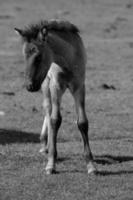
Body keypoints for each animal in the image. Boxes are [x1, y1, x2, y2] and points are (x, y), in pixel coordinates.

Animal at [14, 19, 95, 174]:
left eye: (38, 56)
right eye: (24, 56)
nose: (29, 86)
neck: (67, 62)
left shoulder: (79, 87)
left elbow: (82, 122)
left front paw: (91, 165)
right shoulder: (56, 86)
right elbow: (55, 120)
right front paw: (51, 163)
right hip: (46, 84)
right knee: (48, 108)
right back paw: (45, 144)